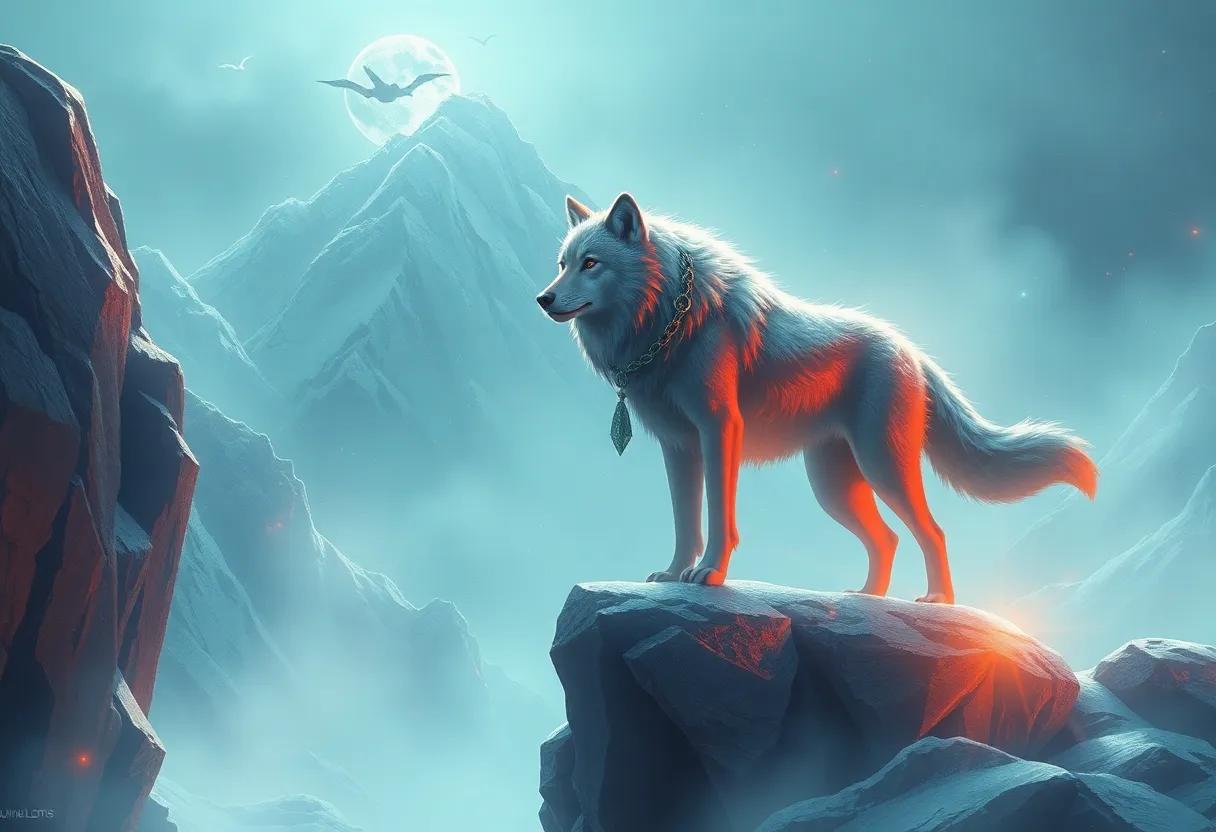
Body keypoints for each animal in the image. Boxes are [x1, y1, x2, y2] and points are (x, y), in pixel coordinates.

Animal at [537, 193, 1097, 603]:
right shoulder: (678, 447)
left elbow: (718, 518)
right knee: (888, 538)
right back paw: (868, 597)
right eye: (562, 263)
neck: (669, 318)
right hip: (833, 487)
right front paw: (675, 573)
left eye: (591, 263)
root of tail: (913, 351)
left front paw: (711, 574)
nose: (543, 298)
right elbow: (684, 522)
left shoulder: (719, 431)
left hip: (883, 467)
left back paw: (939, 601)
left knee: (933, 532)